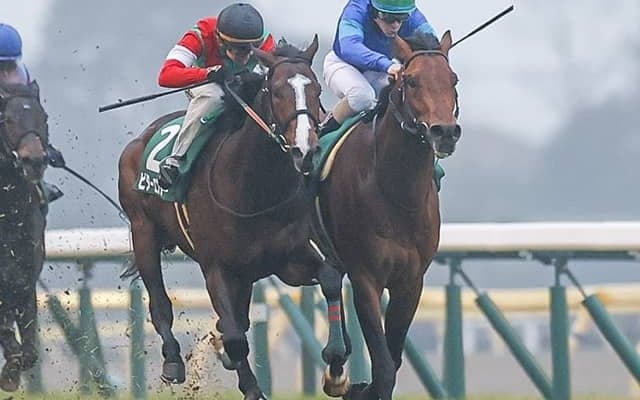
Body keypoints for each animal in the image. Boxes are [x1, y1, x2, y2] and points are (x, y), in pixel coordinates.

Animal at [118, 36, 351, 400]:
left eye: (315, 90)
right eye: (277, 91)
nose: (305, 151)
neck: (253, 186)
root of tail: (140, 141)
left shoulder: (292, 258)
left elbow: (329, 279)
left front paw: (337, 368)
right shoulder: (218, 269)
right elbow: (236, 338)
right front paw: (250, 386)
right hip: (144, 234)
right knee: (160, 304)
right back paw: (173, 361)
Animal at [314, 31, 461, 400]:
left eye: (453, 79)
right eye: (411, 80)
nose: (445, 132)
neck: (398, 195)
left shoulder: (411, 281)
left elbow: (392, 359)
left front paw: (356, 386)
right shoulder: (366, 277)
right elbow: (382, 368)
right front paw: (361, 386)